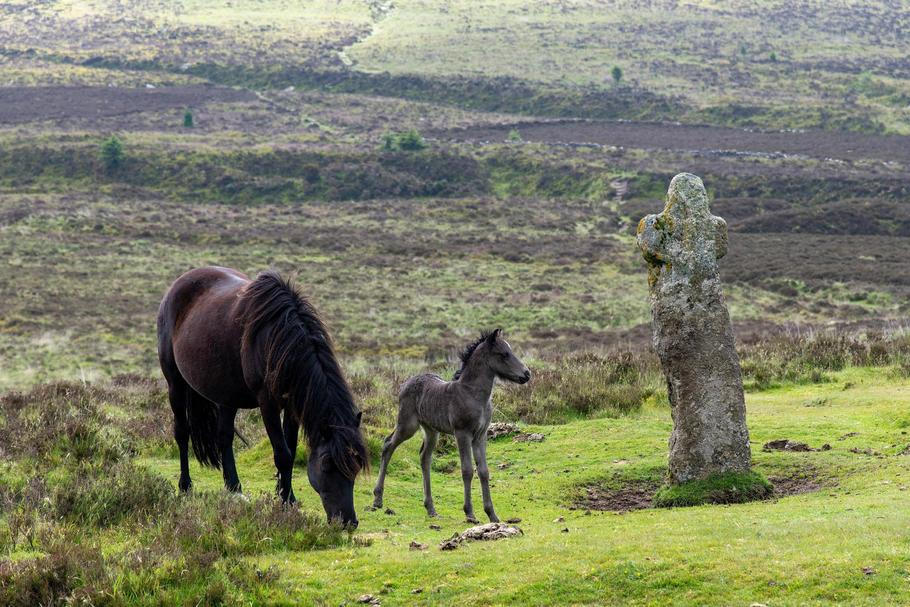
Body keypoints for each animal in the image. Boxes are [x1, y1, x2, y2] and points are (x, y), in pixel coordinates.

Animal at [156, 266, 367, 528]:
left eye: (357, 464)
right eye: (327, 463)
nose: (347, 521)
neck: (278, 338)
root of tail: (176, 286)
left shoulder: (292, 406)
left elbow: (291, 449)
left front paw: (286, 495)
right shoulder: (268, 404)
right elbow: (282, 454)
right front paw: (286, 501)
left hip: (226, 396)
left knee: (224, 437)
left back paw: (234, 487)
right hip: (175, 383)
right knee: (182, 433)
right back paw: (185, 486)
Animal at [371, 329, 530, 523]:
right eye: (504, 354)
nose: (527, 374)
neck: (472, 394)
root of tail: (405, 384)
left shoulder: (481, 435)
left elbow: (483, 471)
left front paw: (492, 515)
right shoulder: (462, 433)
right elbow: (467, 470)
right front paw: (470, 513)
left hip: (431, 430)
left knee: (424, 457)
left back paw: (431, 508)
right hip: (407, 425)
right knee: (388, 445)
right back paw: (377, 500)